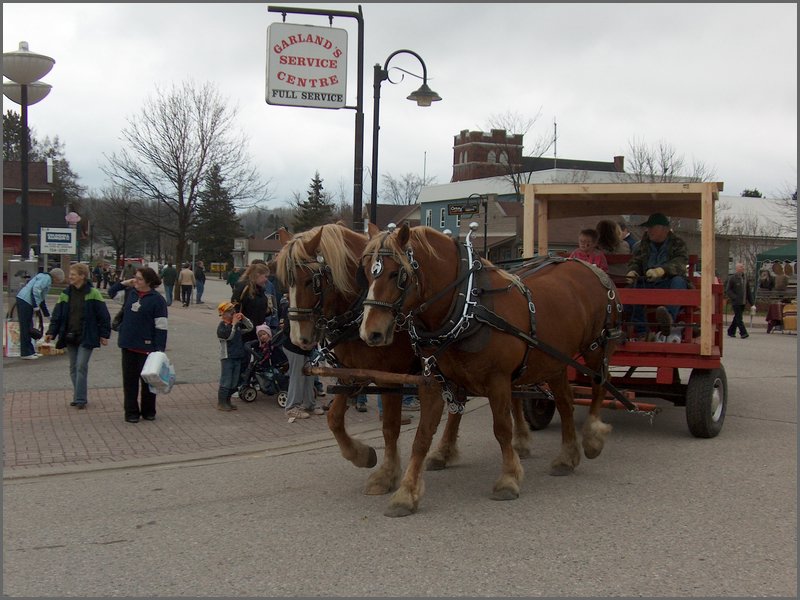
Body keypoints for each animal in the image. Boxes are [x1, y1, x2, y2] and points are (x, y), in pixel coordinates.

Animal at [276, 223, 454, 508]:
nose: (297, 339)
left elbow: (390, 427)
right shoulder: (350, 374)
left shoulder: (389, 377)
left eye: (311, 281)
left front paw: (387, 475)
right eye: (285, 282)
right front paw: (362, 455)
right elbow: (334, 419)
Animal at [360, 224, 620, 506]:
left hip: (595, 347)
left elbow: (502, 428)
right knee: (565, 402)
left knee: (600, 384)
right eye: (366, 272)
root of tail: (587, 267)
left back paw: (592, 437)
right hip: (556, 361)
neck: (467, 305)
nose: (370, 332)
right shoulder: (434, 380)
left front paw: (508, 479)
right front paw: (406, 493)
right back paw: (567, 457)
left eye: (397, 274)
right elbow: (422, 436)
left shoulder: (498, 379)